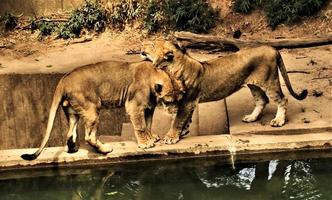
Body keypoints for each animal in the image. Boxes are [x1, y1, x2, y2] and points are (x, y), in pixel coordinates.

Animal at [21, 61, 183, 161]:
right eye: (169, 101)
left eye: (179, 100)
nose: (175, 111)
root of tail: (63, 80)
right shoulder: (134, 106)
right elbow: (141, 126)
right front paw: (146, 144)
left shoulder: (149, 107)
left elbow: (148, 124)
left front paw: (151, 138)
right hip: (92, 109)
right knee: (89, 136)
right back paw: (105, 149)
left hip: (72, 111)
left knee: (69, 133)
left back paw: (73, 149)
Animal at [139, 40, 306, 144]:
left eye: (152, 44)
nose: (141, 46)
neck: (171, 69)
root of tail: (272, 48)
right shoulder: (189, 103)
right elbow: (184, 119)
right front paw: (183, 132)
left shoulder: (187, 101)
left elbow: (178, 120)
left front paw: (171, 137)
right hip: (254, 85)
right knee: (262, 100)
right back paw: (251, 118)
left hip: (269, 81)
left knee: (282, 99)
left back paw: (278, 121)